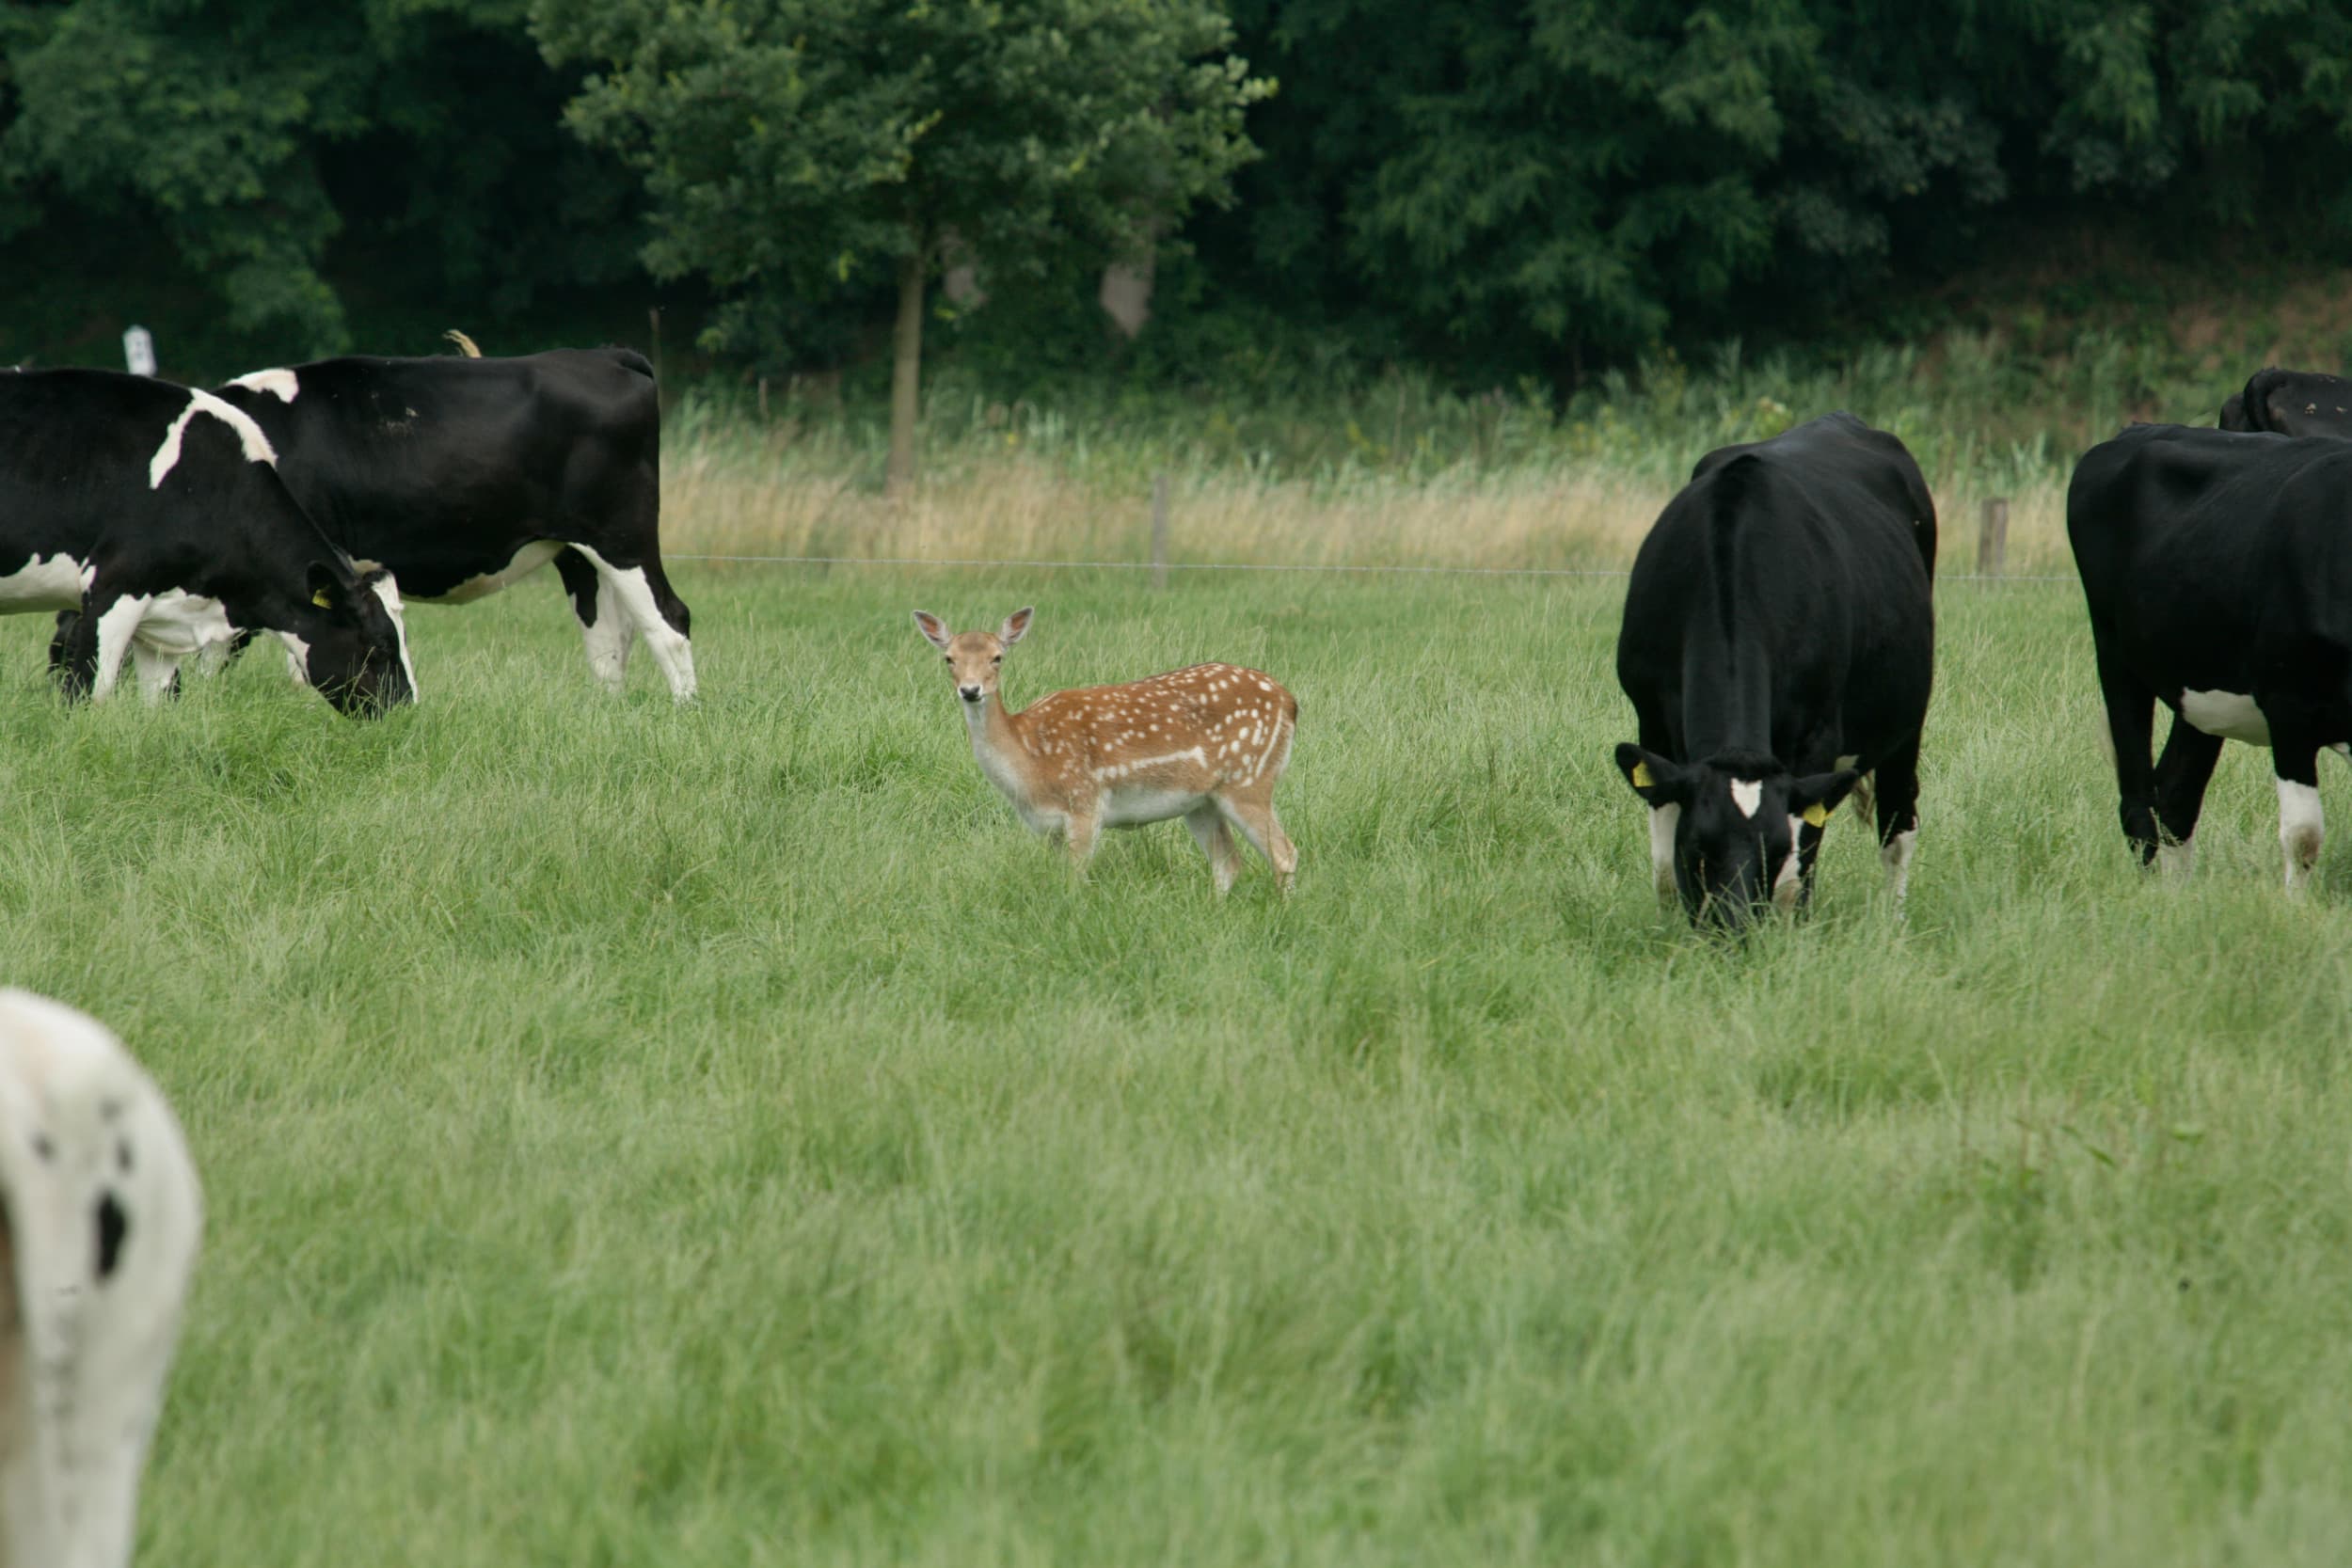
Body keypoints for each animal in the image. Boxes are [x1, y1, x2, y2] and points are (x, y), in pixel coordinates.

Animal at [0, 370, 415, 715]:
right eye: (380, 644)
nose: (405, 708)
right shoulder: (112, 589)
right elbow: (89, 694)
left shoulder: (161, 624)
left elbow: (161, 705)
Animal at [203, 347, 697, 701]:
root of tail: (606, 356)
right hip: (577, 550)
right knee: (608, 637)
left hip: (622, 537)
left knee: (669, 621)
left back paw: (684, 712)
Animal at [1612, 411, 1937, 927]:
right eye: (1698, 848)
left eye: (1776, 851)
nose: (1734, 928)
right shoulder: (1651, 719)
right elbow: (1664, 871)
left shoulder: (1817, 741)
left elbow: (1796, 879)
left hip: (1908, 719)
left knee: (1897, 825)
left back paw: (1894, 922)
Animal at [2069, 421, 2352, 890]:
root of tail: (2136, 429)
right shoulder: (2289, 707)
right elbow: (2303, 835)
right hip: (2115, 653)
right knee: (2137, 798)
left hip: (2198, 682)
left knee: (2176, 794)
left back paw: (2179, 892)